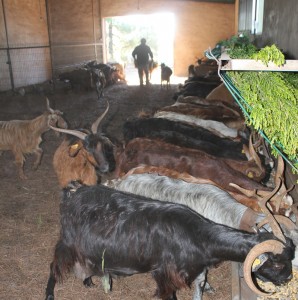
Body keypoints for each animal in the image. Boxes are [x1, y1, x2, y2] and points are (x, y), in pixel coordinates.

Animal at [45, 182, 294, 298]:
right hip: (67, 241)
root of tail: (71, 193)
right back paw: (50, 294)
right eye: (277, 264)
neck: (198, 237)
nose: (289, 279)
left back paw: (89, 280)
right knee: (54, 265)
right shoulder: (164, 274)